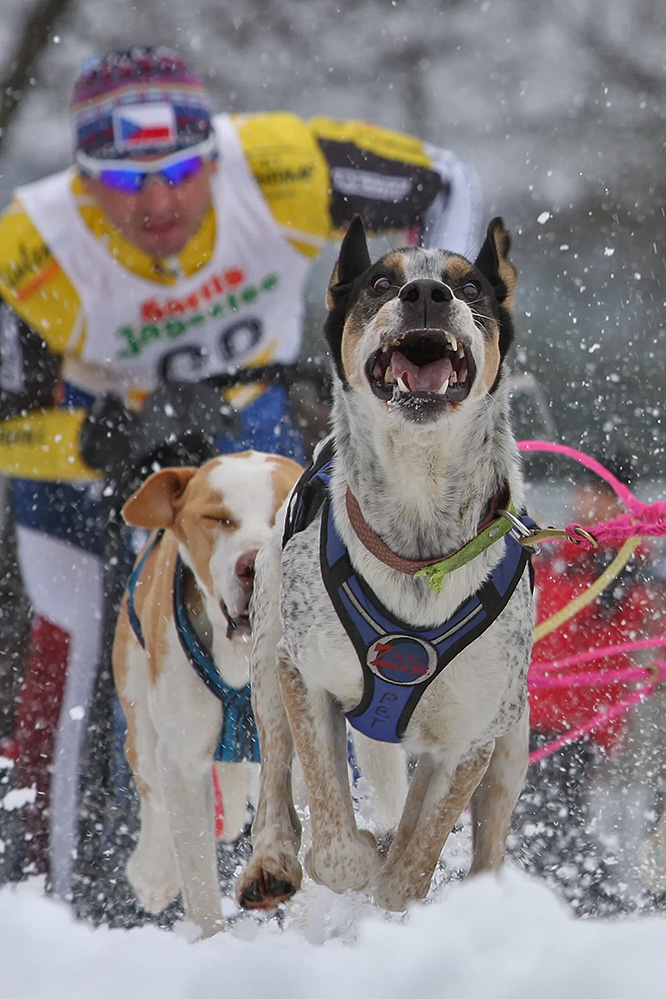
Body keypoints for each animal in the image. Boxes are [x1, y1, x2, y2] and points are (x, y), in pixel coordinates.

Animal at [112, 454, 300, 936]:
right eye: (217, 518)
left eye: (282, 512)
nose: (252, 564)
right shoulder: (182, 761)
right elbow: (197, 874)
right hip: (140, 719)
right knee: (152, 790)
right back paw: (155, 871)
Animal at [237, 217, 536, 916]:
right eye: (379, 282)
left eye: (470, 286)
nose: (426, 293)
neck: (419, 544)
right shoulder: (306, 676)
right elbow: (334, 844)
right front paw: (354, 857)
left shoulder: (471, 738)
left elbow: (412, 863)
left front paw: (397, 879)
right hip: (267, 648)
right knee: (277, 777)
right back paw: (273, 859)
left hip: (513, 740)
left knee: (486, 838)